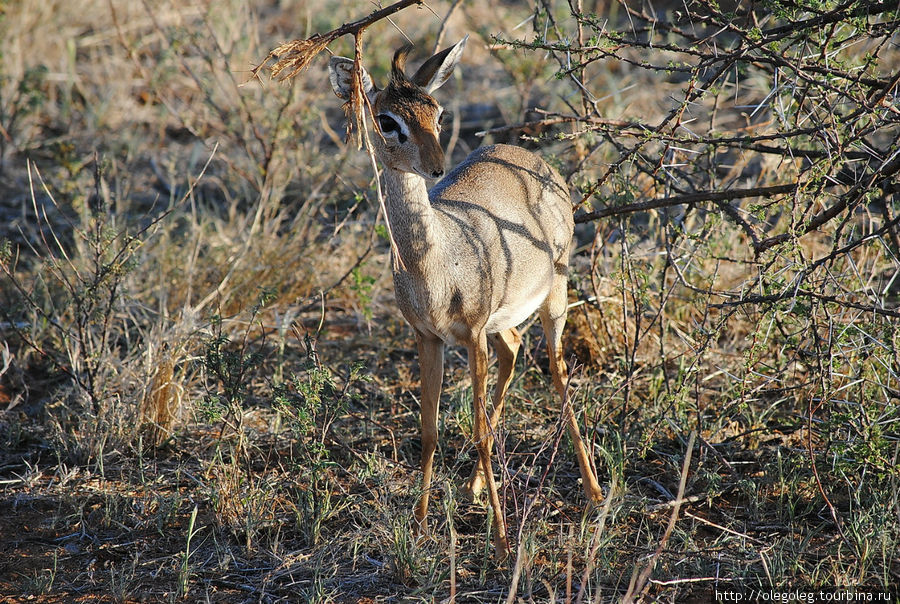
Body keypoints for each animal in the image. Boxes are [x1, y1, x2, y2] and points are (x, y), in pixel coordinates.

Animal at [326, 36, 600, 556]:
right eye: (387, 120)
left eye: (437, 112)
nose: (436, 167)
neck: (435, 267)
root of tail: (532, 158)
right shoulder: (428, 338)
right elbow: (430, 432)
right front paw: (418, 524)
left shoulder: (470, 335)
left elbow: (477, 434)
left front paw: (502, 541)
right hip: (501, 322)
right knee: (513, 348)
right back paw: (473, 487)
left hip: (553, 296)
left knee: (557, 371)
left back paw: (594, 492)